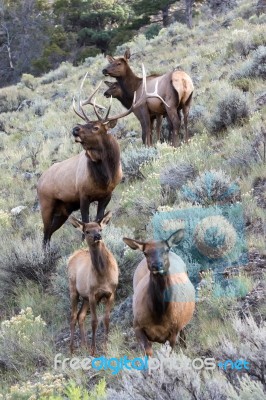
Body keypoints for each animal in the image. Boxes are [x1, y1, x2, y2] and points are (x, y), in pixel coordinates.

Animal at [67, 211, 118, 354]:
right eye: (87, 231)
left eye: (100, 229)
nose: (97, 236)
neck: (103, 275)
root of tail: (72, 257)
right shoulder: (93, 294)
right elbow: (94, 321)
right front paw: (93, 350)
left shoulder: (111, 293)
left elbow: (106, 319)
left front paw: (105, 347)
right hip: (74, 290)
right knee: (73, 316)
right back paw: (72, 348)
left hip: (85, 297)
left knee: (81, 316)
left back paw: (84, 345)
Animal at [123, 230, 195, 358]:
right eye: (145, 252)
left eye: (166, 249)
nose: (157, 265)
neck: (159, 316)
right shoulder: (137, 325)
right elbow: (148, 353)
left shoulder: (173, 331)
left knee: (183, 335)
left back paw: (185, 347)